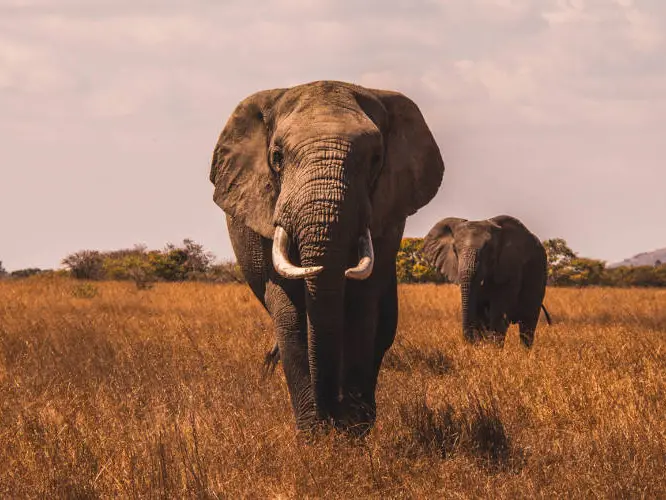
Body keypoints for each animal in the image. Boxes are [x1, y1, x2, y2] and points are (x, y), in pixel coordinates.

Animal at [210, 80, 445, 435]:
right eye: (277, 157)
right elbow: (291, 315)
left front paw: (352, 432)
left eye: (376, 159)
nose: (331, 415)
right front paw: (315, 436)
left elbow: (361, 310)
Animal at [421, 215, 551, 348]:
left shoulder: (511, 267)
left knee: (527, 325)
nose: (469, 342)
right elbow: (479, 312)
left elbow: (498, 313)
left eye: (489, 251)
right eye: (454, 250)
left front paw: (493, 350)